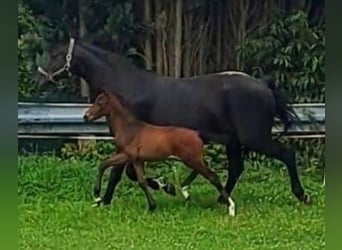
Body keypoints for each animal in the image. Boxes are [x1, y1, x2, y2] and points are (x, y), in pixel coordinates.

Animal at [34, 38, 310, 207]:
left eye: (56, 55)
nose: (39, 78)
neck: (125, 87)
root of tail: (264, 85)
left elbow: (122, 172)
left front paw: (161, 187)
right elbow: (124, 173)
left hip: (254, 137)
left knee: (287, 154)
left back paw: (302, 195)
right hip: (234, 141)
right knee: (236, 168)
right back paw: (220, 199)